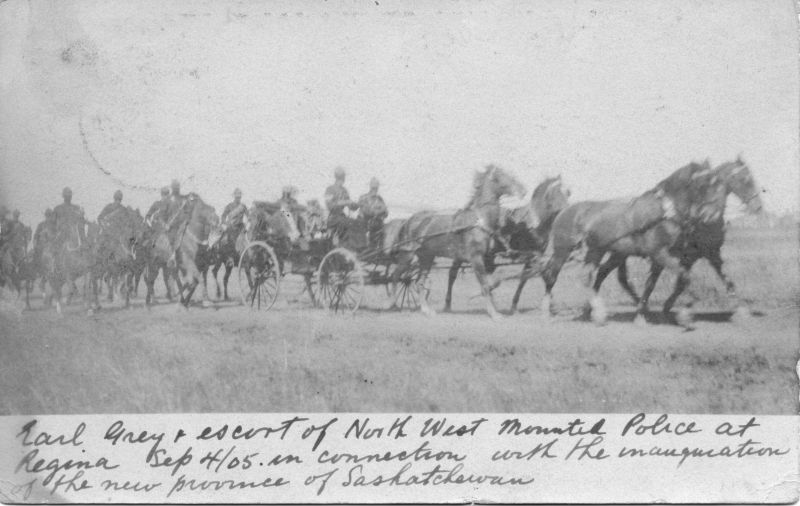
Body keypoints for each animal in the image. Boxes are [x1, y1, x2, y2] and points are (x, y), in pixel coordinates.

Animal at [392, 164, 524, 318]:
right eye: (502, 177)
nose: (523, 191)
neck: (479, 220)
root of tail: (408, 220)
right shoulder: (476, 258)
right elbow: (485, 285)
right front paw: (494, 313)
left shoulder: (487, 259)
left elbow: (494, 282)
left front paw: (485, 302)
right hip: (407, 256)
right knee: (396, 276)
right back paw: (394, 304)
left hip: (427, 258)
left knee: (418, 283)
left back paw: (427, 310)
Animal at [608, 156, 764, 322]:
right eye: (745, 180)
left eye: (751, 178)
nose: (758, 207)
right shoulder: (678, 255)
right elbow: (659, 282)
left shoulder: (710, 254)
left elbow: (723, 279)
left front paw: (742, 310)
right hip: (620, 254)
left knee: (619, 277)